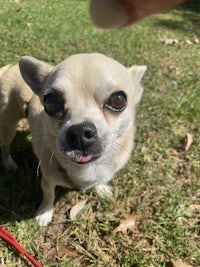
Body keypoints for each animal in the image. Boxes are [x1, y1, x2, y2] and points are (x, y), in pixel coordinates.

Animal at [0, 53, 147, 227]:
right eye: (50, 102)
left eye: (118, 100)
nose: (79, 132)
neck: (89, 168)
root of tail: (10, 67)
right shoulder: (48, 180)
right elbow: (49, 195)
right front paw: (45, 213)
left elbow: (99, 180)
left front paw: (101, 189)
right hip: (8, 126)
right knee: (5, 147)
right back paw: (9, 163)